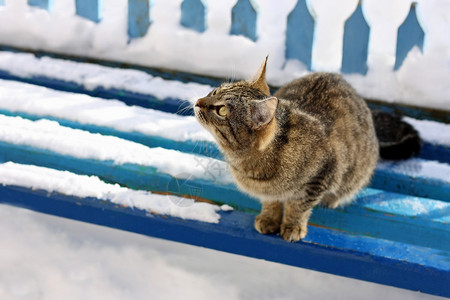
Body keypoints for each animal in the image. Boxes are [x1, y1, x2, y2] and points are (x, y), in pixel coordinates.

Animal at [194, 57, 422, 243]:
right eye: (214, 92)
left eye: (222, 110)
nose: (197, 101)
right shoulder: (268, 191)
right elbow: (271, 201)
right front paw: (269, 218)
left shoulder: (321, 176)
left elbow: (299, 206)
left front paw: (292, 225)